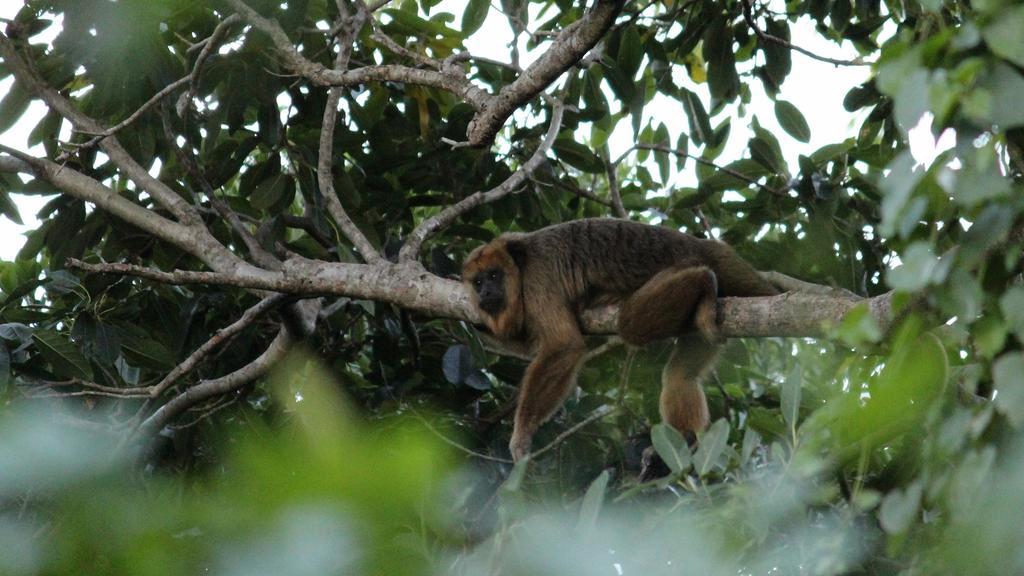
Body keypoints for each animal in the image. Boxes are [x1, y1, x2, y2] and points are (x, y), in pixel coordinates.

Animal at [464, 217, 774, 459]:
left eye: (494, 275)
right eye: (478, 282)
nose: (485, 293)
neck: (521, 264)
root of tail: (707, 246)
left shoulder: (538, 280)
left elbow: (564, 345)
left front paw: (522, 433)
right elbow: (529, 348)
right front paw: (475, 328)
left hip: (713, 265)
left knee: (630, 324)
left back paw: (705, 281)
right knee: (680, 375)